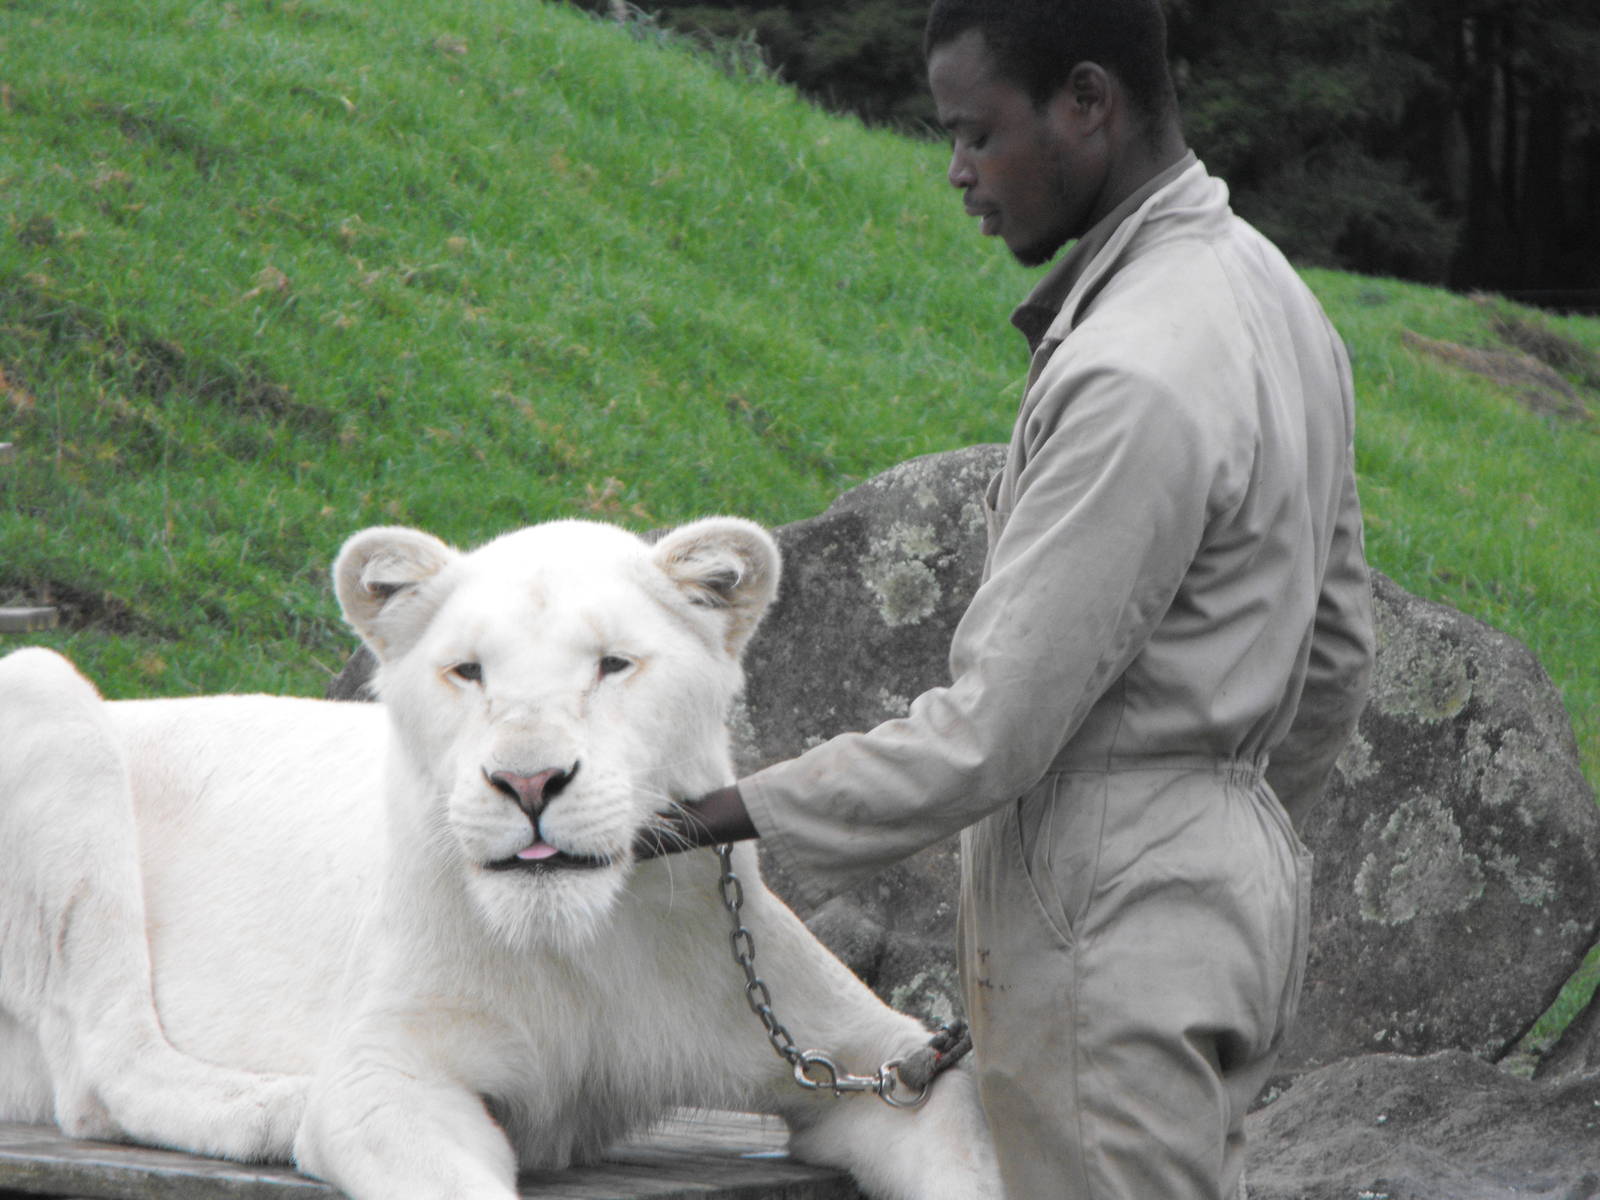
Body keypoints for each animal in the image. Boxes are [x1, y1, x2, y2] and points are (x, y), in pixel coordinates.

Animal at [0, 517, 1001, 1200]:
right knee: (104, 1068)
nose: (527, 782)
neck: (585, 949)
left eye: (611, 664)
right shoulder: (389, 1067)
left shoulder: (877, 1062)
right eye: (469, 671)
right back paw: (275, 1106)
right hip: (40, 686)